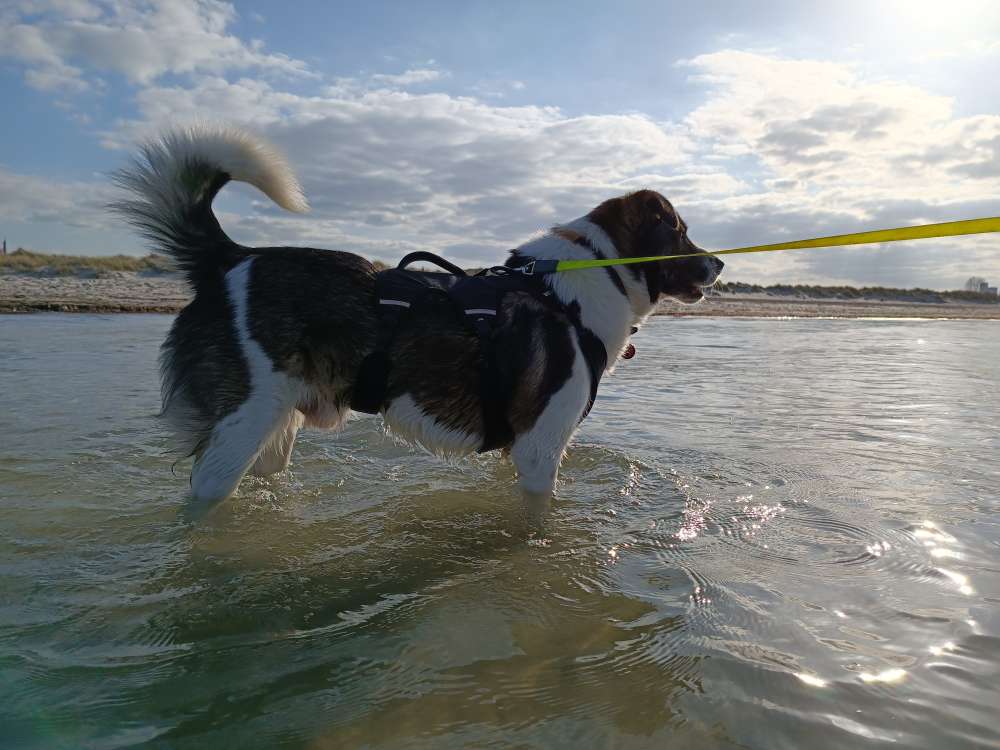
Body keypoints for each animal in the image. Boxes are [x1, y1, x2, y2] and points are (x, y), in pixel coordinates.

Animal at [113, 125, 724, 512]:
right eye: (679, 231)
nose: (719, 263)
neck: (581, 285)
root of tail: (230, 258)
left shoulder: (518, 449)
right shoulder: (539, 450)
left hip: (275, 430)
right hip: (239, 429)